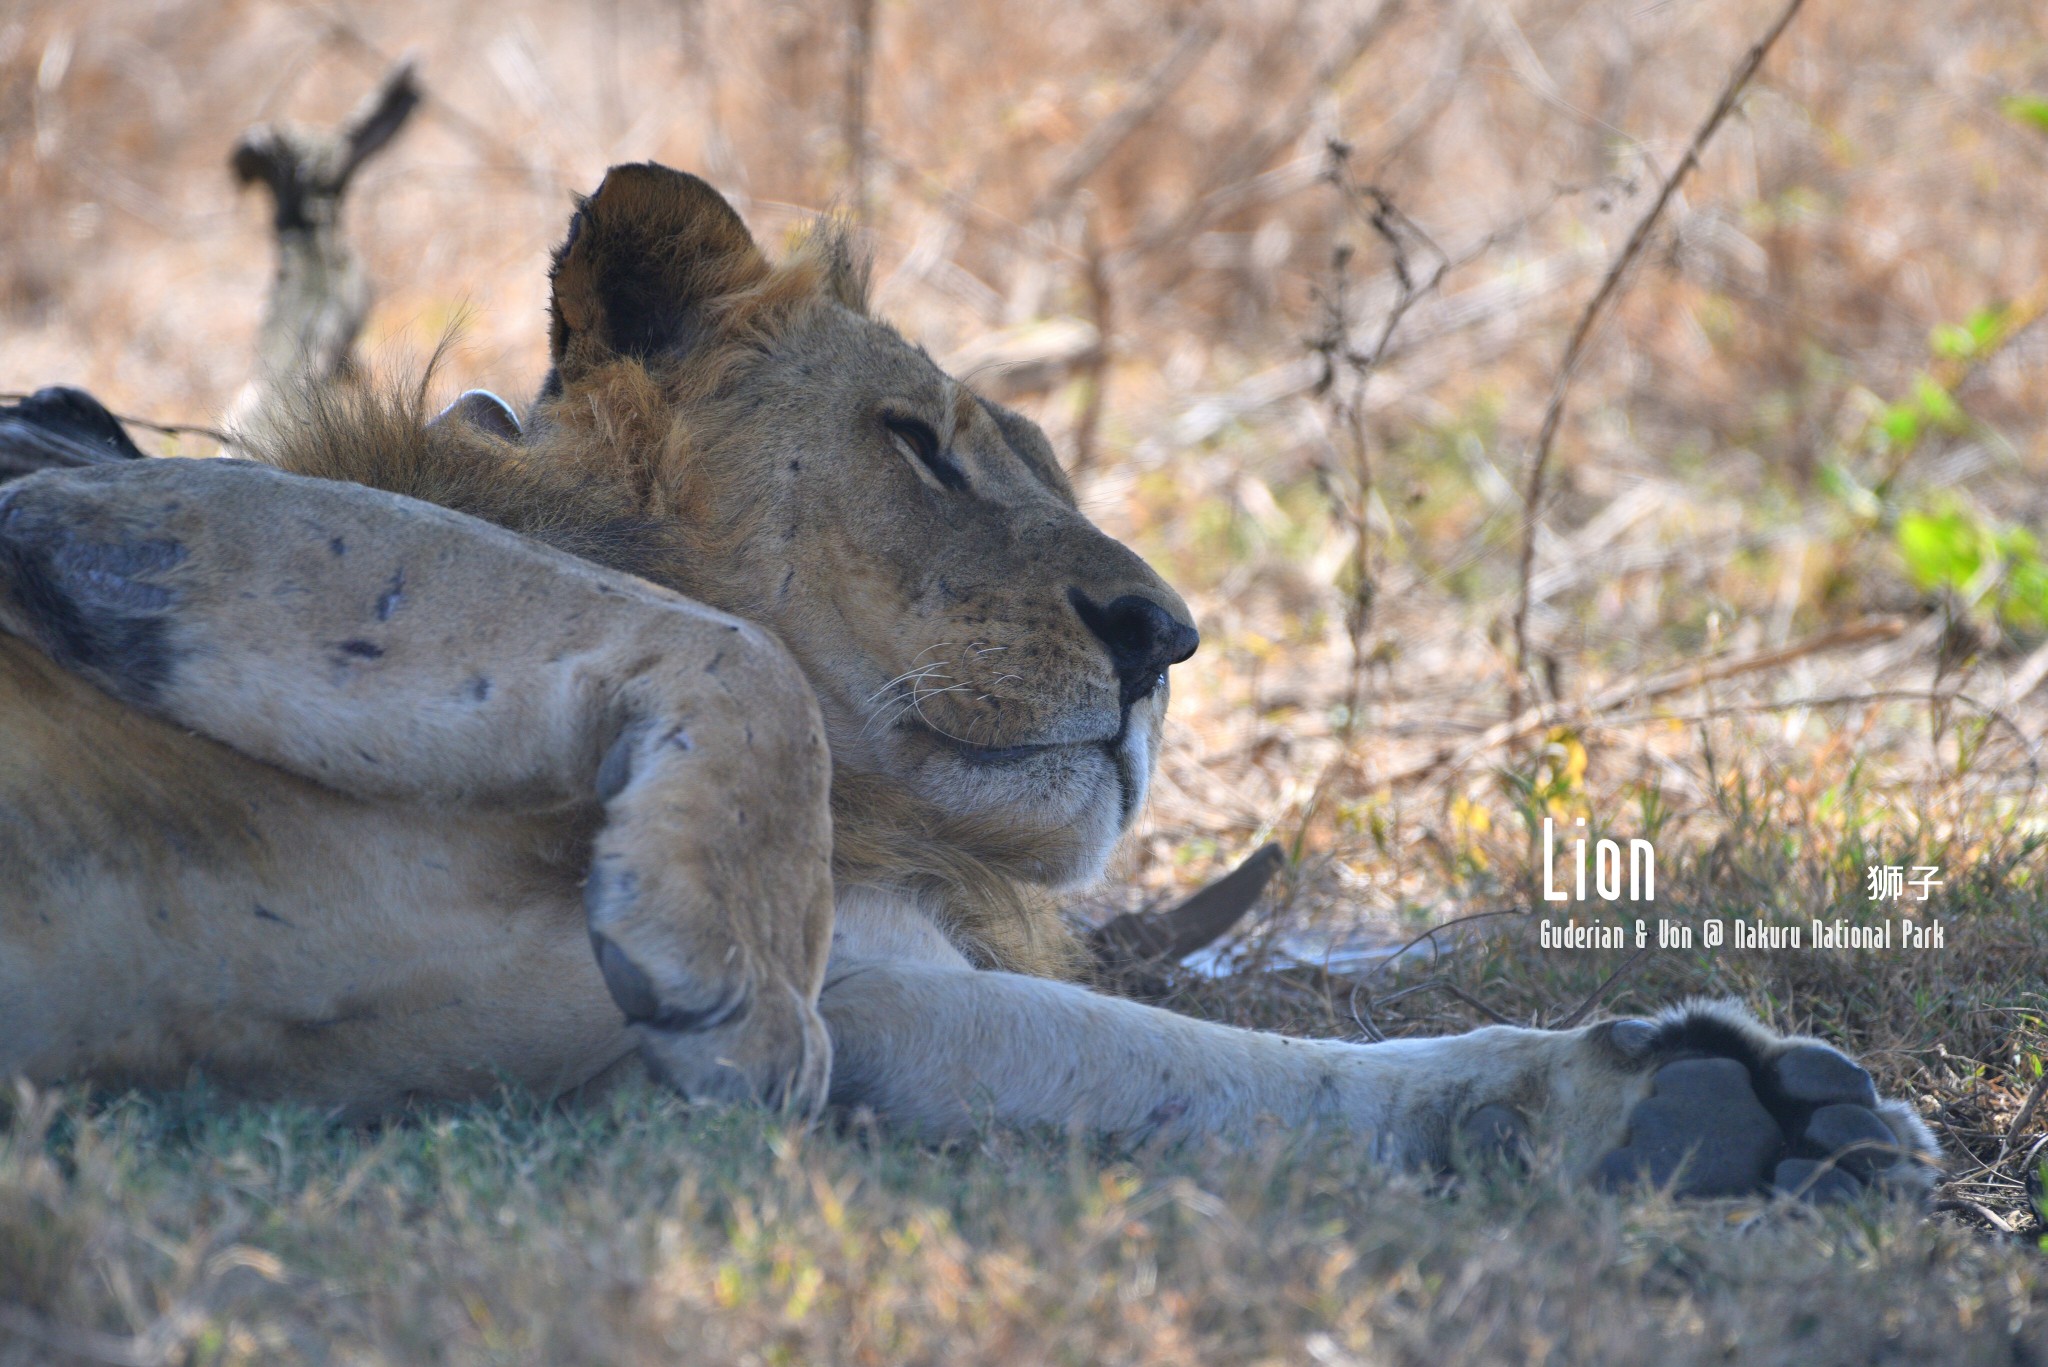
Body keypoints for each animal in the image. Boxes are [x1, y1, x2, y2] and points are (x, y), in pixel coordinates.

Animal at [0, 166, 1933, 1205]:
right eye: (920, 445)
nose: (1164, 641)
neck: (876, 841)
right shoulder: (55, 489)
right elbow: (742, 662)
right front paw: (723, 987)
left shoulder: (896, 1007)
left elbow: (1240, 1073)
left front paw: (1710, 1112)